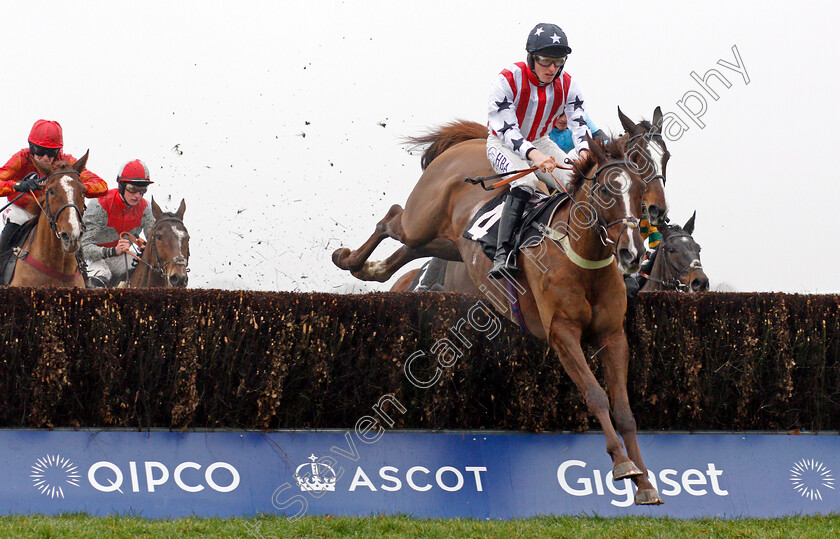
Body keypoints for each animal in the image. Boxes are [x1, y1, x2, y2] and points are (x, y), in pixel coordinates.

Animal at [334, 122, 664, 506]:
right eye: (606, 188)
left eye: (639, 190)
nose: (632, 253)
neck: (582, 256)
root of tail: (469, 142)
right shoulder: (562, 333)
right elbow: (595, 394)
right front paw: (623, 465)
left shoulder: (613, 335)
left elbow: (624, 410)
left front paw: (645, 483)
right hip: (421, 220)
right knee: (392, 218)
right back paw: (347, 257)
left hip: (448, 243)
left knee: (407, 251)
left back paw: (366, 268)